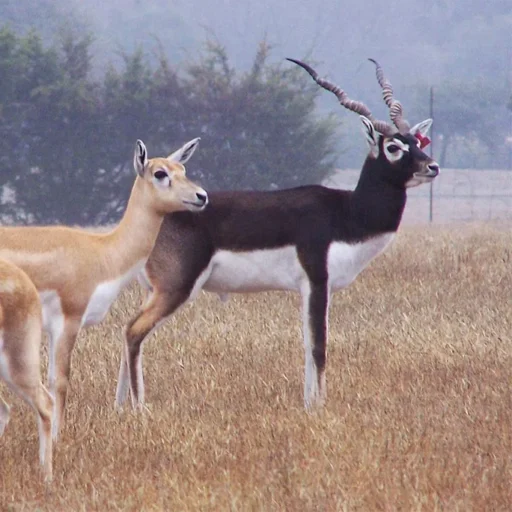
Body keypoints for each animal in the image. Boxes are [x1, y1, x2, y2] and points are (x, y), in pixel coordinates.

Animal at [0, 138, 208, 438]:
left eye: (182, 169)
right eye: (160, 173)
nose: (201, 196)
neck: (102, 253)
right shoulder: (69, 320)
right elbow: (59, 380)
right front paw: (58, 438)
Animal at [116, 59, 440, 412]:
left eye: (418, 142)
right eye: (393, 147)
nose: (432, 167)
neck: (346, 213)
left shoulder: (309, 289)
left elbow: (307, 345)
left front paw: (309, 404)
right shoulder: (317, 281)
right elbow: (319, 346)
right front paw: (318, 408)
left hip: (153, 290)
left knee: (127, 331)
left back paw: (119, 407)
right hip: (176, 288)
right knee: (133, 331)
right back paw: (139, 408)